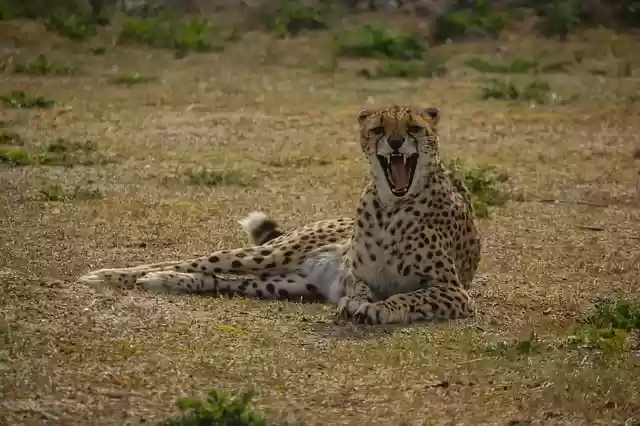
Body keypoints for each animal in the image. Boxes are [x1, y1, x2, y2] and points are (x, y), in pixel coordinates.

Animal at [78, 105, 481, 325]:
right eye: (379, 129)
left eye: (414, 128)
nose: (396, 143)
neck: (392, 204)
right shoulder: (361, 274)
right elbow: (364, 288)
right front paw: (362, 302)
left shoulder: (454, 291)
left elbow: (407, 297)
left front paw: (376, 309)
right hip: (270, 254)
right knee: (193, 261)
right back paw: (108, 275)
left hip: (285, 283)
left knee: (218, 279)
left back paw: (164, 281)